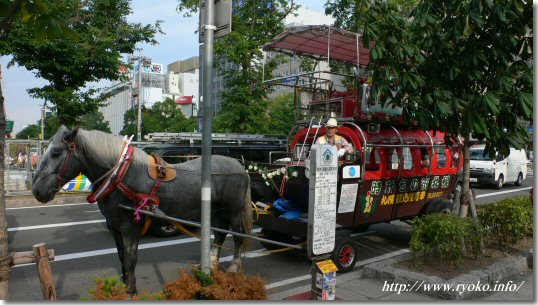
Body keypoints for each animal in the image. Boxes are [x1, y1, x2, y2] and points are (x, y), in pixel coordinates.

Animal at [30, 125, 251, 292]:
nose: (36, 190)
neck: (120, 176)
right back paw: (211, 264)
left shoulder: (130, 227)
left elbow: (130, 259)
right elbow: (121, 258)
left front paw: (131, 290)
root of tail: (240, 166)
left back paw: (234, 266)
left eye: (55, 153)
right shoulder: (114, 227)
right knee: (220, 234)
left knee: (238, 234)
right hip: (216, 211)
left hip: (233, 210)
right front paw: (124, 286)